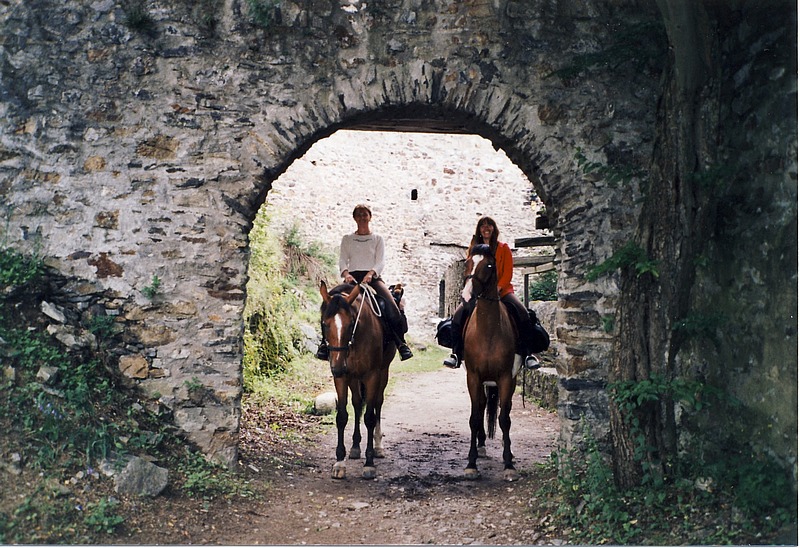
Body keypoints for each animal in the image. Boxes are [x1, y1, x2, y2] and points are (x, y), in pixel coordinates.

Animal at [318, 280, 396, 478]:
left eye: (351, 323)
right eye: (324, 324)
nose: (338, 366)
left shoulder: (372, 375)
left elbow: (369, 417)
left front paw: (369, 463)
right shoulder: (342, 377)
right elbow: (342, 416)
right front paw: (339, 462)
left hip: (383, 372)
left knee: (377, 403)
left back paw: (378, 447)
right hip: (353, 378)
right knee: (357, 402)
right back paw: (354, 447)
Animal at [460, 244, 520, 480]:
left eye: (488, 265)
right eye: (467, 262)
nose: (467, 295)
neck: (488, 331)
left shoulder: (505, 378)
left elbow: (504, 419)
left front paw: (508, 463)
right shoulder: (473, 377)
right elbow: (475, 417)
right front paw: (471, 463)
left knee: (506, 411)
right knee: (483, 406)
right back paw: (482, 446)